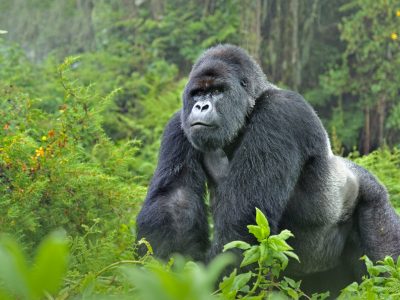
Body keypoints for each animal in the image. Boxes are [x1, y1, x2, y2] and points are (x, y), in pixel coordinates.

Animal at [135, 44, 400, 292]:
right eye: (198, 93)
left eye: (217, 91)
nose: (201, 107)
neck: (250, 107)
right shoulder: (179, 123)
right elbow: (175, 201)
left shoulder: (279, 113)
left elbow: (243, 219)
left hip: (374, 199)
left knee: (384, 263)